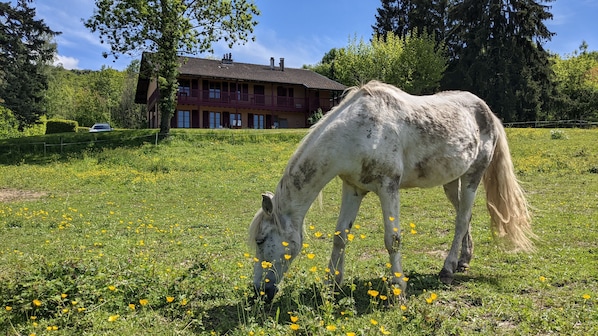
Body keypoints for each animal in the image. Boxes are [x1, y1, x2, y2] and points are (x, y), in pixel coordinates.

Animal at [248, 80, 536, 300]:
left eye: (261, 240)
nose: (259, 292)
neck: (356, 133)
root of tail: (488, 113)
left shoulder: (388, 187)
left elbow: (392, 239)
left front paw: (399, 288)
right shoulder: (352, 187)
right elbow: (340, 235)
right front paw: (332, 285)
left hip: (472, 177)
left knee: (461, 219)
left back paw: (448, 269)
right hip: (452, 181)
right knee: (465, 217)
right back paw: (464, 259)